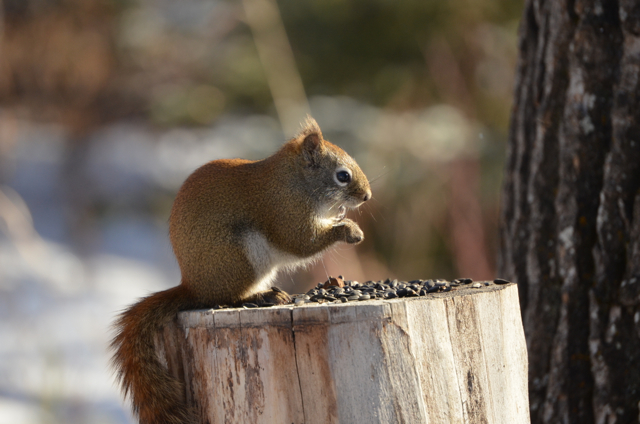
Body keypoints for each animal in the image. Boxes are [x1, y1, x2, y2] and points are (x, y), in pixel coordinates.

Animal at [110, 117, 371, 424]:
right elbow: (301, 243)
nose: (367, 196)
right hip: (239, 258)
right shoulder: (284, 212)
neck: (294, 182)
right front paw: (349, 230)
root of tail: (193, 287)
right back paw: (260, 297)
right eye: (342, 176)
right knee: (226, 298)